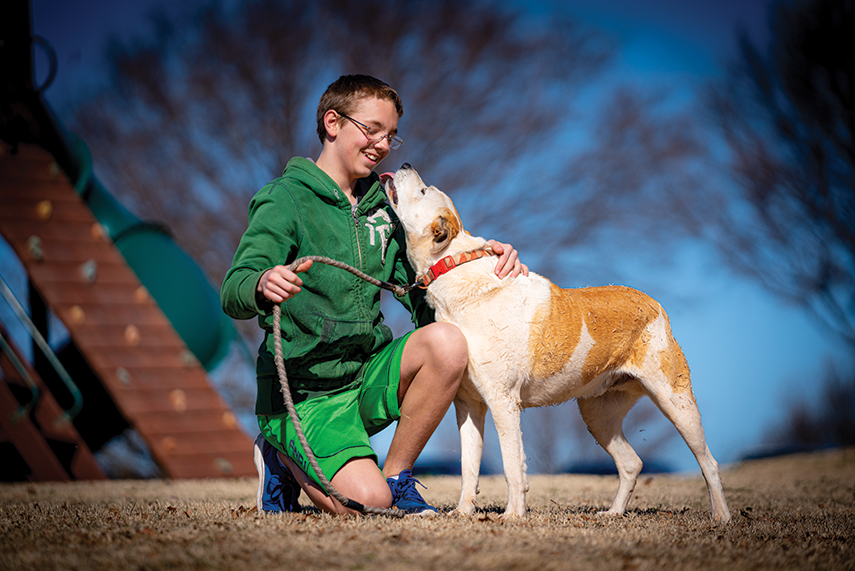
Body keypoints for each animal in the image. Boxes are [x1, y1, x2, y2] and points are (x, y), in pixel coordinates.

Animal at [382, 164, 728, 524]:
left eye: (424, 191)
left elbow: (512, 465)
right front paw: (464, 512)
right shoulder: (468, 404)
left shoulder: (502, 401)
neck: (453, 263)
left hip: (676, 401)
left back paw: (721, 516)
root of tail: (653, 302)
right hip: (598, 415)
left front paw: (513, 515)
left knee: (708, 462)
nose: (405, 165)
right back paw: (613, 513)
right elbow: (469, 466)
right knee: (632, 463)